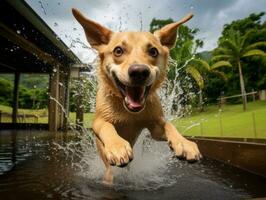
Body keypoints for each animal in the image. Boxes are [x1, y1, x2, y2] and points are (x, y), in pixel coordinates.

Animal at [71, 9, 201, 184]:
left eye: (153, 51)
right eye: (118, 50)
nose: (139, 72)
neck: (129, 114)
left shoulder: (156, 127)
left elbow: (168, 125)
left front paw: (183, 142)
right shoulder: (98, 121)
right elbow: (107, 126)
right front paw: (117, 146)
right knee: (109, 171)